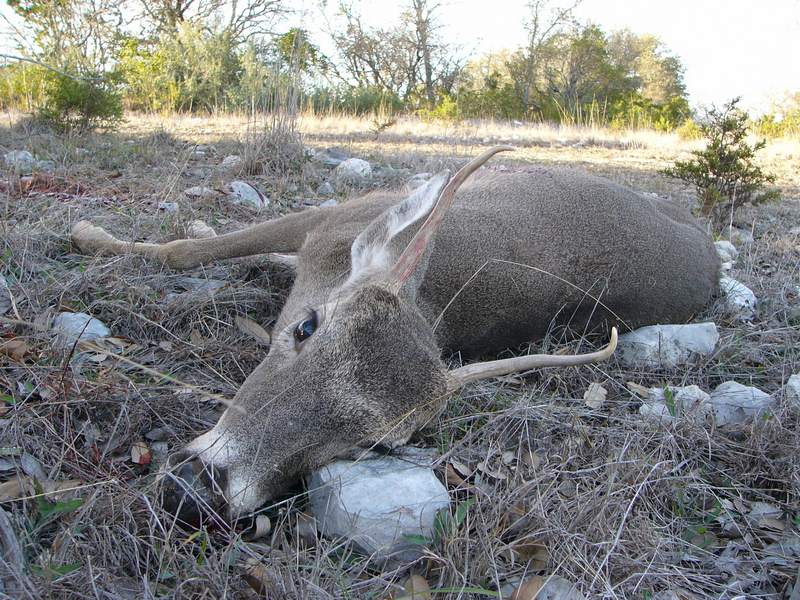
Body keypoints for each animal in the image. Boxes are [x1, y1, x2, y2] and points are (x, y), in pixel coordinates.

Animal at [69, 146, 720, 520]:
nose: (198, 491)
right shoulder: (333, 218)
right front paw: (85, 233)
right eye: (305, 327)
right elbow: (189, 249)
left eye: (375, 444)